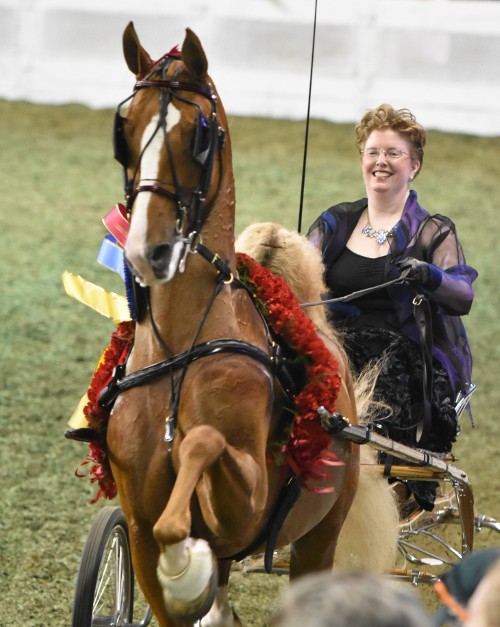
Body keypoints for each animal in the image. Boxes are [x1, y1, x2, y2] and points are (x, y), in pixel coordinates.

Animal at [106, 23, 368, 627]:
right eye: (124, 129)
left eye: (199, 135)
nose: (147, 251)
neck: (179, 353)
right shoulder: (139, 531)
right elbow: (162, 544)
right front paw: (188, 577)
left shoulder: (245, 509)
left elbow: (202, 440)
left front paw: (187, 567)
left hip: (320, 535)